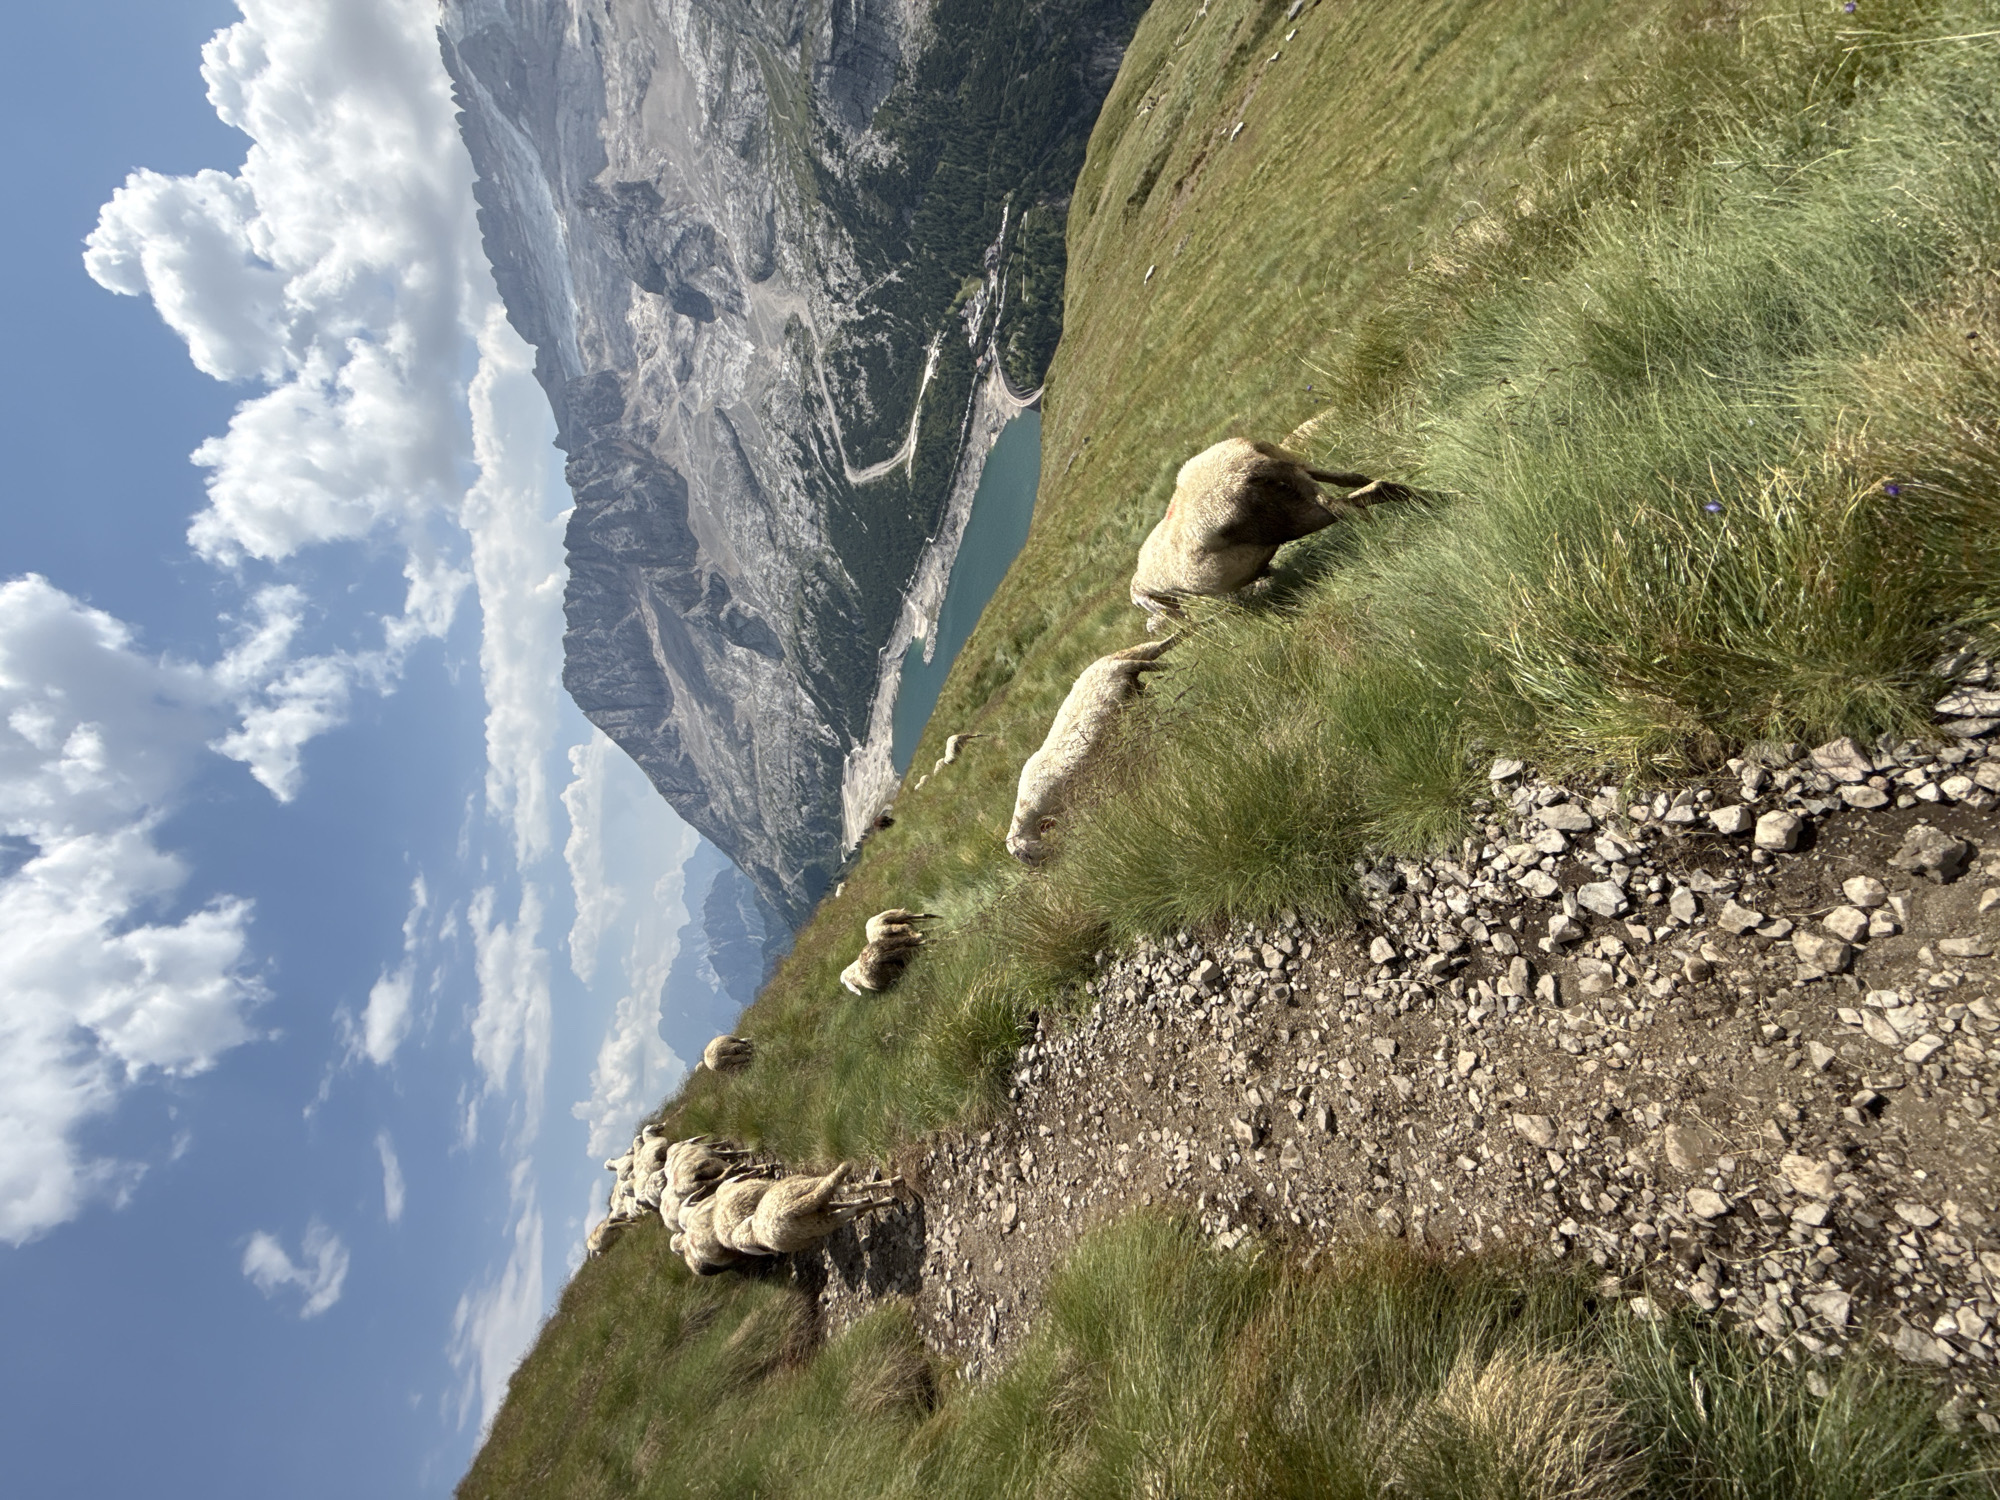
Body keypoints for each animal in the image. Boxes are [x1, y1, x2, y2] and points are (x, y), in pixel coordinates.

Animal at [748, 1163, 904, 1254]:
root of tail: (787, 1211)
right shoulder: (821, 1203)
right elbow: (841, 1202)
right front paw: (864, 1200)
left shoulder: (821, 1207)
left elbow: (837, 1205)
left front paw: (862, 1200)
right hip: (811, 1188)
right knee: (852, 1190)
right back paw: (893, 1188)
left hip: (816, 1225)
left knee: (848, 1202)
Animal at [1006, 638, 1175, 864]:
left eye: (1025, 854)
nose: (1053, 862)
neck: (1028, 806)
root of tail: (1106, 660)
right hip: (1130, 680)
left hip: (1123, 669)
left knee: (1158, 657)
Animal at [1129, 438, 1401, 626]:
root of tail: (1254, 463)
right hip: (1295, 468)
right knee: (1355, 481)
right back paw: (1407, 497)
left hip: (1282, 520)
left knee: (1347, 505)